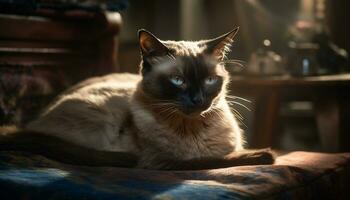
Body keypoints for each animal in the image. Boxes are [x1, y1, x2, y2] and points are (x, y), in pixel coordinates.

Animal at [0, 27, 274, 169]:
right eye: (178, 81)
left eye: (209, 80)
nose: (198, 100)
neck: (193, 131)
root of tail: (30, 124)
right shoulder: (161, 162)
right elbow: (210, 161)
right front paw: (264, 155)